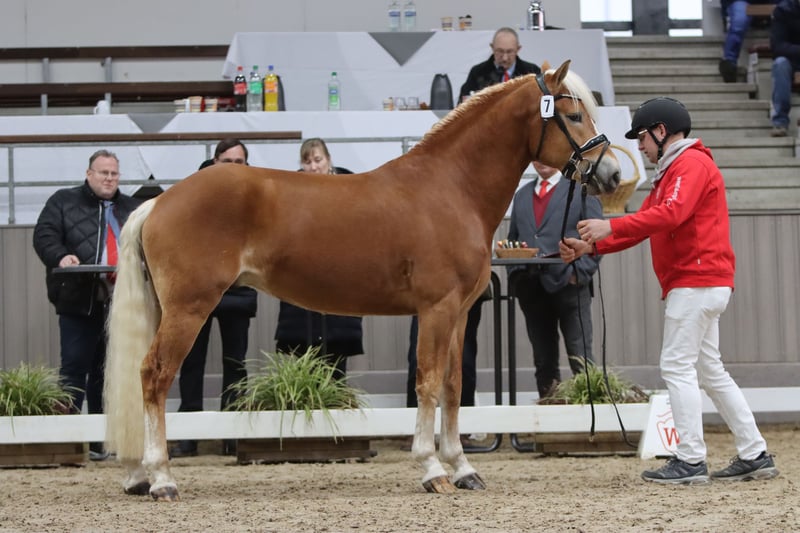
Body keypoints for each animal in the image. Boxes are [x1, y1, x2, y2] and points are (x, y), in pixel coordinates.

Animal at [104, 60, 621, 501]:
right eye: (573, 114)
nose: (612, 174)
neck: (452, 188)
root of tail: (160, 202)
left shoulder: (459, 313)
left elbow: (454, 385)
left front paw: (463, 468)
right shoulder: (436, 310)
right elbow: (427, 382)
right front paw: (432, 470)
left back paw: (137, 476)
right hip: (189, 309)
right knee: (154, 376)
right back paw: (162, 479)